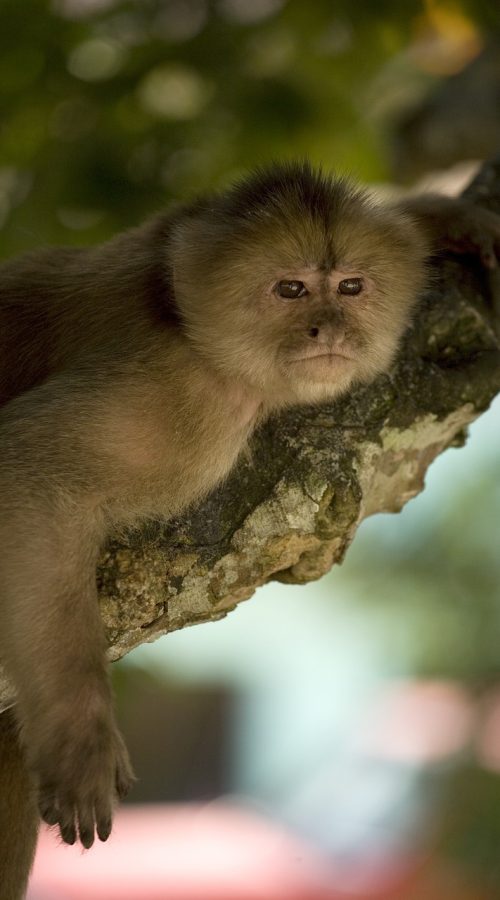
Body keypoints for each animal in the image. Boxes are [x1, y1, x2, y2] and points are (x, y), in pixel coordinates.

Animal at [0, 161, 499, 899]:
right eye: (291, 290)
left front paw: (438, 217)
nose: (329, 330)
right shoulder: (182, 393)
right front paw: (79, 732)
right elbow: (29, 474)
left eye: (350, 288)